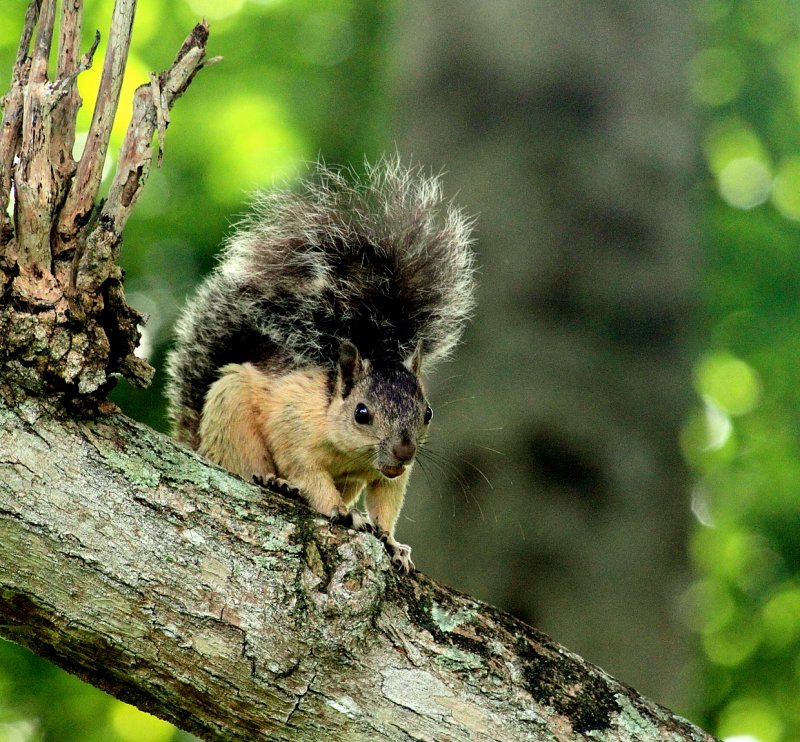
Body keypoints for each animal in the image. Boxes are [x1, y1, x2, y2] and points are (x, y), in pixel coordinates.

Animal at [163, 158, 476, 576]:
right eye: (362, 413)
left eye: (427, 413)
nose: (404, 451)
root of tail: (197, 442)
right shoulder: (292, 427)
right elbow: (310, 476)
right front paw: (344, 513)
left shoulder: (389, 475)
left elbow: (387, 500)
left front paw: (393, 543)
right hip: (230, 416)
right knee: (241, 465)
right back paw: (273, 482)